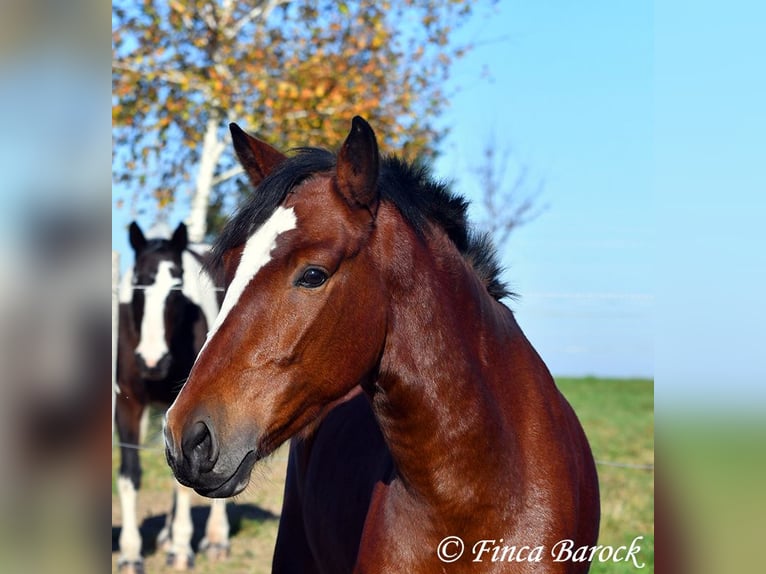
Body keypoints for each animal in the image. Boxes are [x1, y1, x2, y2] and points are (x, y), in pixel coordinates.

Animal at [114, 223, 228, 572]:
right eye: (137, 282)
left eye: (177, 287)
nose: (153, 361)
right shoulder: (127, 405)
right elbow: (129, 475)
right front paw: (131, 553)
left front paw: (180, 549)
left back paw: (216, 540)